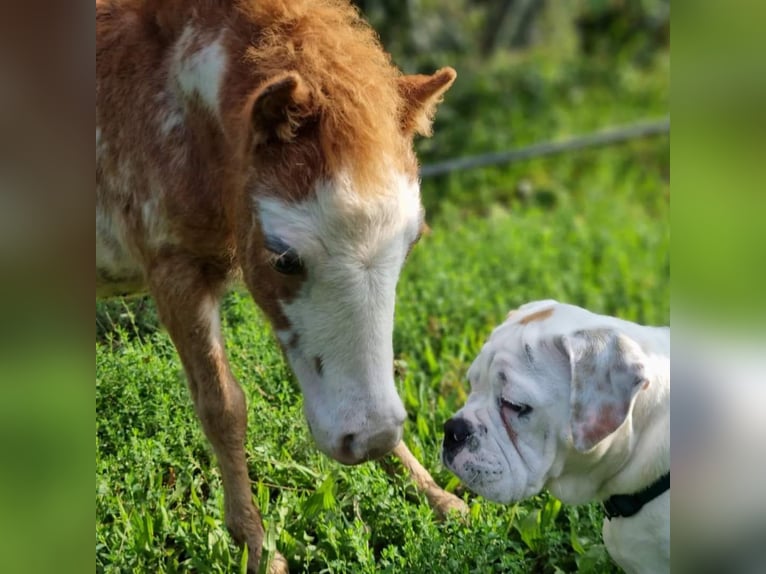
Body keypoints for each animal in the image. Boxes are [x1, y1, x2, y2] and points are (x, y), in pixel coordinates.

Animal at [98, 2, 462, 572]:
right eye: (285, 258)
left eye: (411, 243)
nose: (369, 438)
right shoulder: (174, 270)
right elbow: (222, 406)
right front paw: (257, 547)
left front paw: (436, 495)